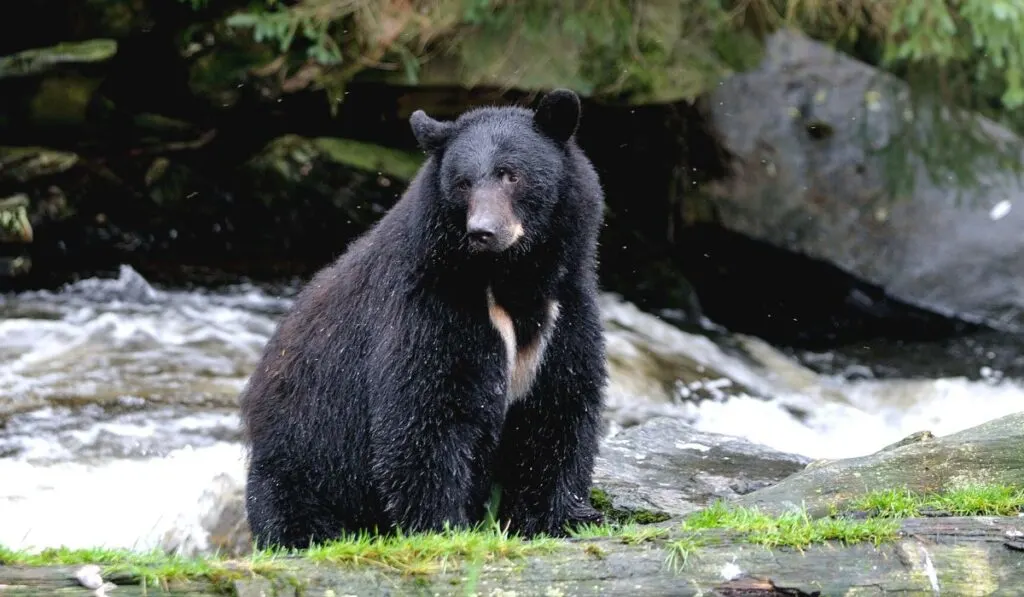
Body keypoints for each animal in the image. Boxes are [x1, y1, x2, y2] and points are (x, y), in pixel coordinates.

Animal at [239, 88, 606, 552]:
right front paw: (442, 527)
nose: (483, 232)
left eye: (511, 175)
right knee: (292, 510)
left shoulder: (565, 309)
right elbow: (428, 411)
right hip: (303, 457)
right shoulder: (433, 306)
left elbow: (560, 405)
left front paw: (562, 517)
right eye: (463, 182)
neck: (511, 278)